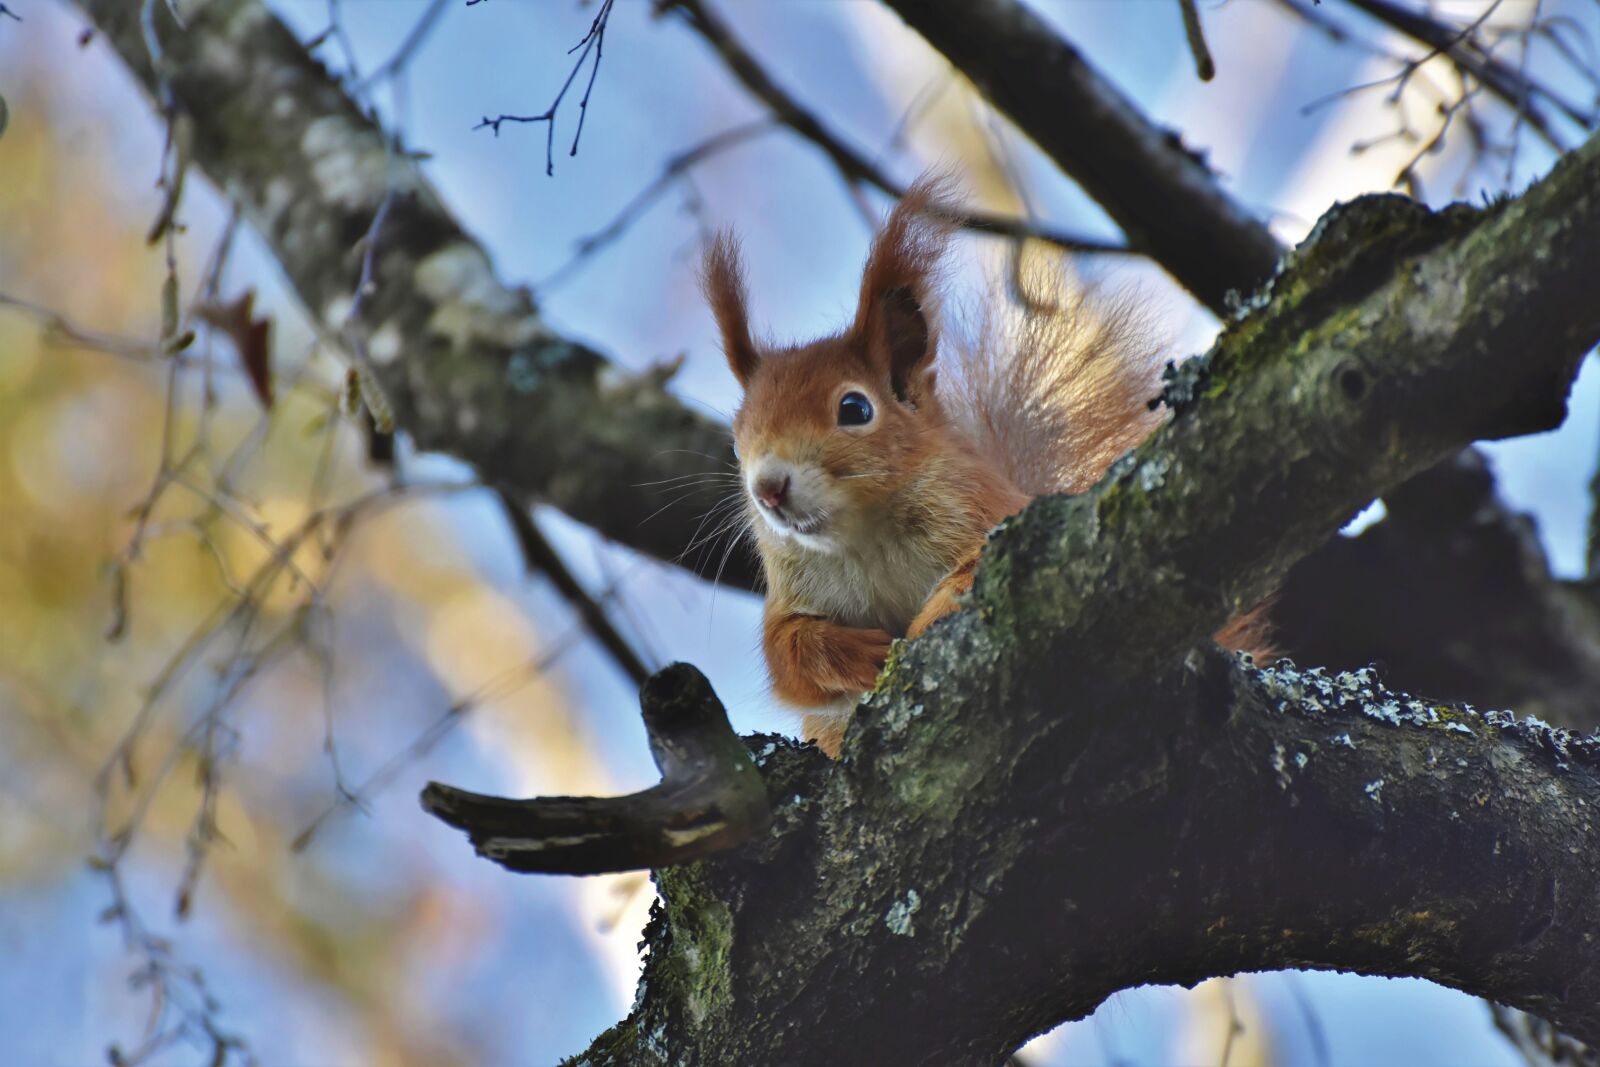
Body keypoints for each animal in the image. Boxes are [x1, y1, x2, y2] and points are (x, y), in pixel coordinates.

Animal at [707, 177, 1254, 758]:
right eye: (737, 442)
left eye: (854, 409)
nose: (768, 488)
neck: (863, 535)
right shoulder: (791, 593)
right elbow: (787, 654)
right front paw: (858, 652)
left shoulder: (985, 511)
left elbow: (972, 575)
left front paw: (924, 622)